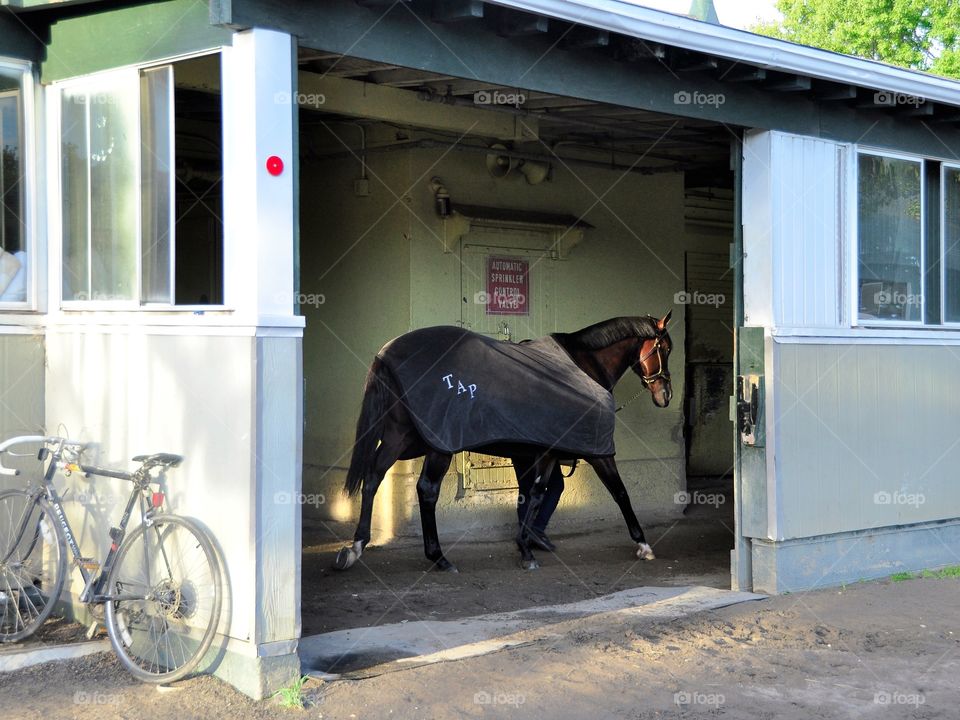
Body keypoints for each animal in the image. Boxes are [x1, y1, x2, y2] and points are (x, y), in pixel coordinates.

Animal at [338, 312, 676, 572]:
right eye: (665, 348)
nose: (665, 395)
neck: (583, 365)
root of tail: (388, 353)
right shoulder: (595, 452)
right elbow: (619, 492)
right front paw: (643, 544)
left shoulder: (545, 451)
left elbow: (536, 494)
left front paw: (526, 546)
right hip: (437, 445)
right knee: (426, 490)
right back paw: (439, 558)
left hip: (399, 437)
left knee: (373, 477)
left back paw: (356, 547)